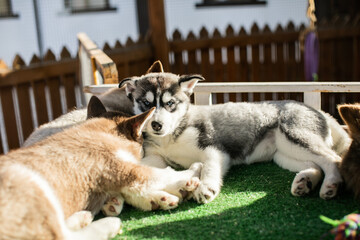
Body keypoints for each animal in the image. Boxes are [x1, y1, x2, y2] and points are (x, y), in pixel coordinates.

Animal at [0, 96, 200, 240]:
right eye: (141, 139)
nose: (144, 149)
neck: (100, 133)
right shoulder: (122, 169)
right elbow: (162, 173)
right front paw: (191, 173)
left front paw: (156, 197)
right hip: (31, 182)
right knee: (61, 236)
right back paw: (107, 225)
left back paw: (81, 218)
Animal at [124, 61, 352, 202]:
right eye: (146, 104)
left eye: (170, 103)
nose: (156, 125)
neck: (171, 137)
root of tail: (320, 111)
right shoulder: (157, 157)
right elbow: (144, 165)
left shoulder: (214, 149)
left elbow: (208, 168)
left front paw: (206, 187)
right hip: (283, 153)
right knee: (316, 164)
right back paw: (305, 182)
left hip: (295, 136)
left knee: (333, 159)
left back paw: (330, 185)